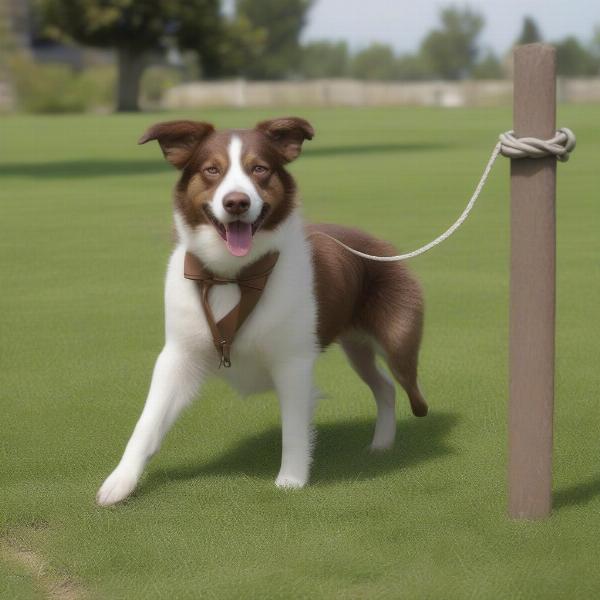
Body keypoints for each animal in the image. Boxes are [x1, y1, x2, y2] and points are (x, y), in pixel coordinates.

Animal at [96, 115, 426, 504]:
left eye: (260, 169)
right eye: (212, 170)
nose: (236, 202)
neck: (232, 275)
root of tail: (382, 245)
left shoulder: (292, 362)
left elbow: (294, 429)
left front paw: (291, 481)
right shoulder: (178, 356)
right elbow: (147, 423)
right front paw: (120, 482)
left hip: (397, 344)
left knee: (404, 388)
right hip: (356, 346)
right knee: (384, 386)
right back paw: (381, 446)